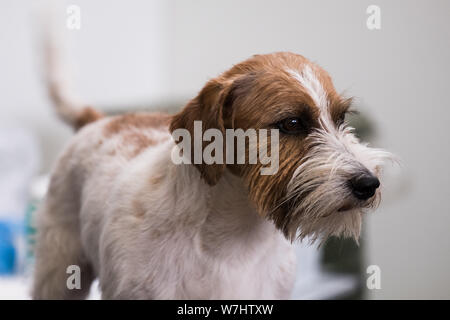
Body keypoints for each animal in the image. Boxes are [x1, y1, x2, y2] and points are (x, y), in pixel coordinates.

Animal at [31, 51, 390, 298]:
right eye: (291, 123)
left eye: (341, 118)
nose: (369, 184)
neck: (234, 237)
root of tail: (100, 120)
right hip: (59, 273)